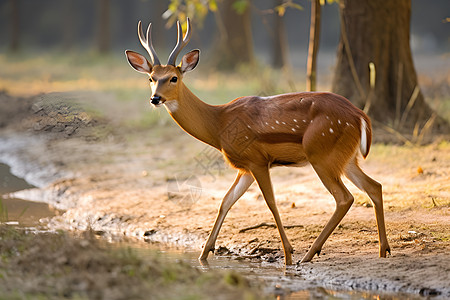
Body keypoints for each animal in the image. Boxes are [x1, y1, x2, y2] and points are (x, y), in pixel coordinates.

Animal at [125, 18, 388, 264]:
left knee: (345, 197)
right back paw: (383, 250)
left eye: (173, 78)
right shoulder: (245, 167)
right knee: (374, 186)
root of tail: (360, 116)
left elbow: (270, 202)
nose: (155, 98)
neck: (219, 124)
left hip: (322, 153)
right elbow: (226, 201)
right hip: (346, 157)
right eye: (151, 78)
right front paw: (203, 254)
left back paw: (308, 255)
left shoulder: (257, 160)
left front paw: (288, 255)